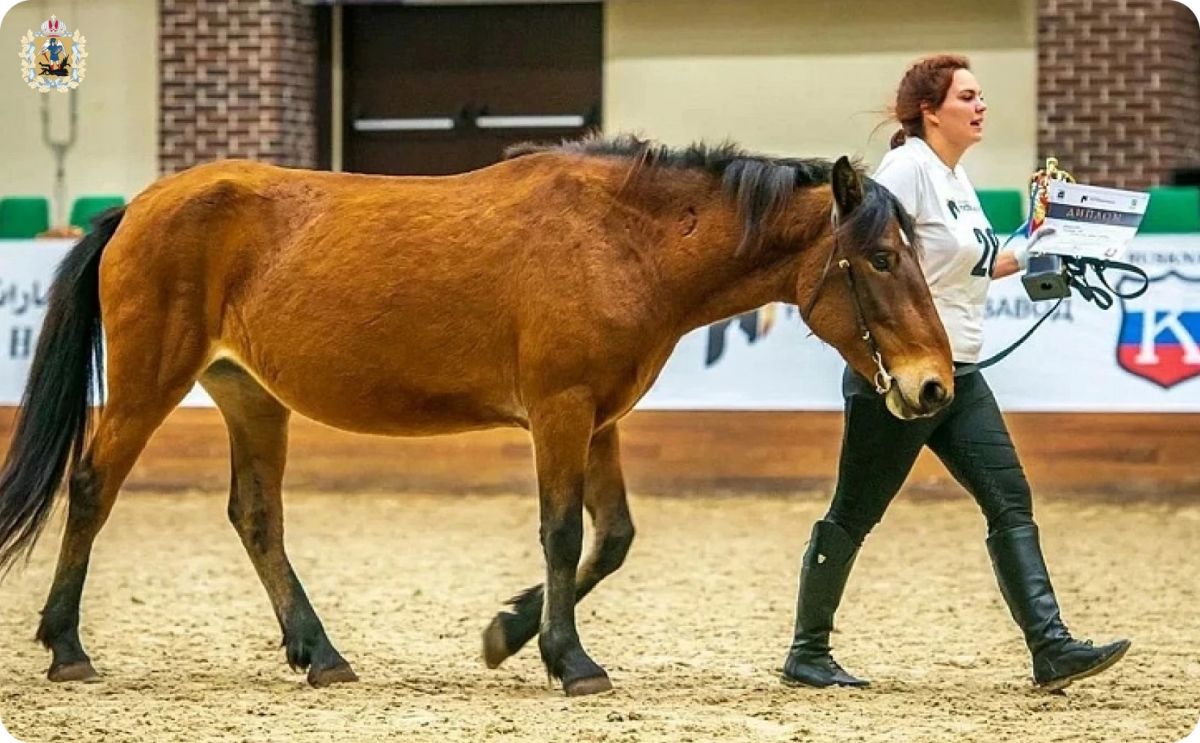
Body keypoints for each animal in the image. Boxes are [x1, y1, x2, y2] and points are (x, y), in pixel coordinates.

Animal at [0, 133, 953, 697]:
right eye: (880, 257)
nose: (934, 386)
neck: (620, 239)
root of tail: (136, 207)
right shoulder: (560, 410)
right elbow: (563, 533)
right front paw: (570, 660)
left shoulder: (599, 418)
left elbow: (613, 538)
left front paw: (507, 633)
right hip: (148, 383)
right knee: (93, 488)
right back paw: (67, 647)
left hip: (250, 397)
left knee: (257, 517)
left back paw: (321, 654)